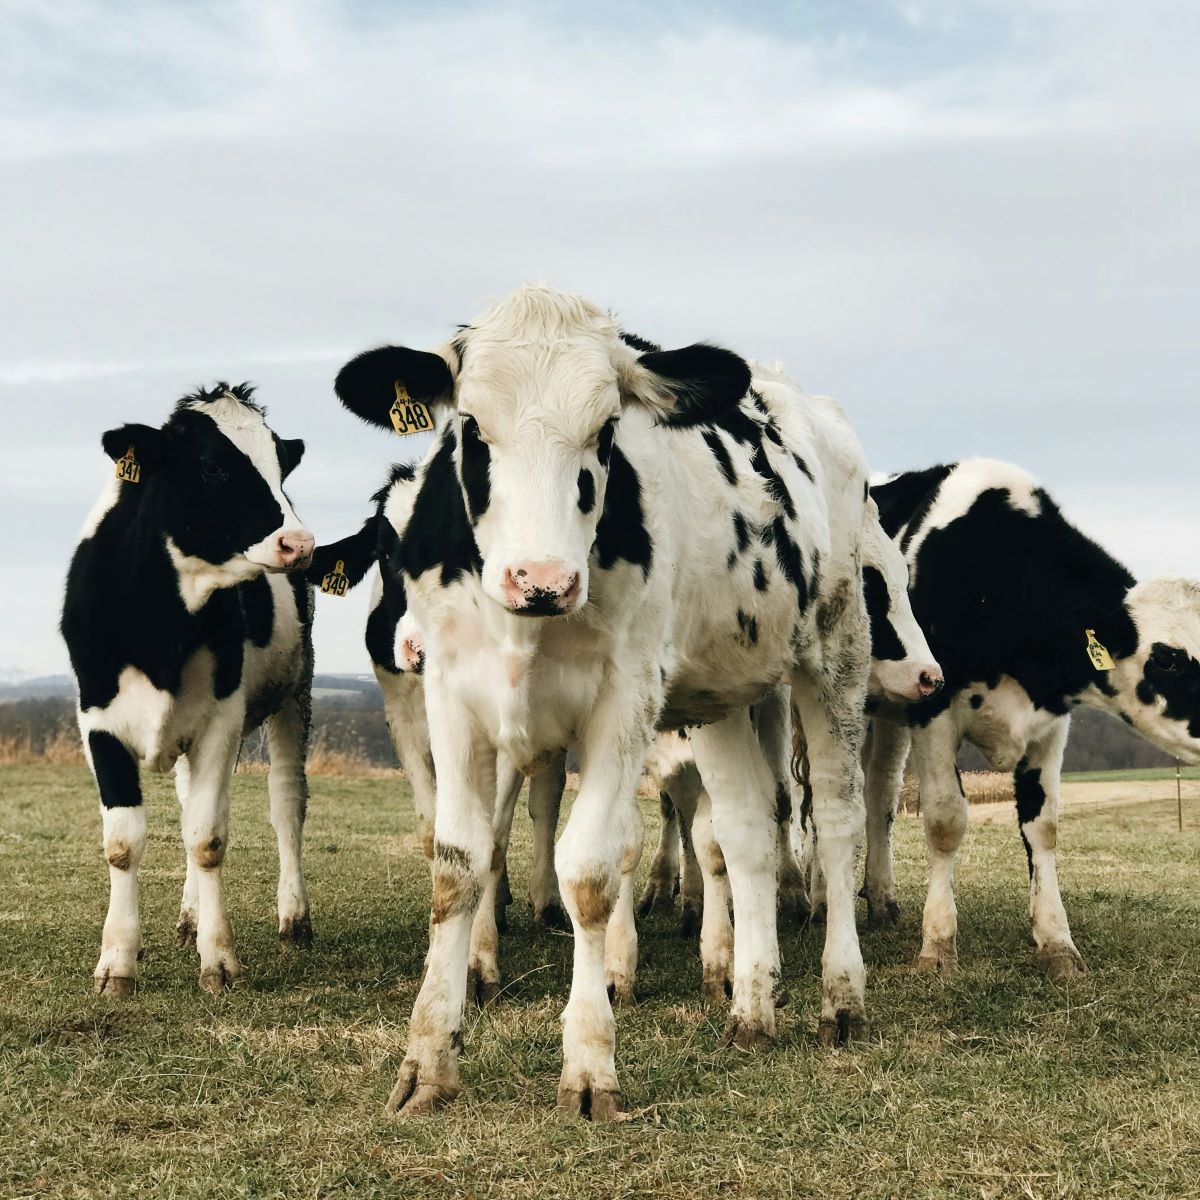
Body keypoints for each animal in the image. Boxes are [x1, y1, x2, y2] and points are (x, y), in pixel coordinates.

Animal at [62, 384, 316, 993]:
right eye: (213, 467)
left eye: (281, 466)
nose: (299, 543)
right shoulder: (96, 720)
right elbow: (124, 841)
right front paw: (117, 962)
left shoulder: (220, 719)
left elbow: (206, 838)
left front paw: (218, 961)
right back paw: (189, 916)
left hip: (295, 693)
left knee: (286, 803)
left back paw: (294, 917)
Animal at [333, 285, 878, 1118]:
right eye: (470, 426)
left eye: (608, 430)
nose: (542, 579)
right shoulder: (452, 697)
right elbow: (456, 865)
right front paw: (428, 1060)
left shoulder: (624, 703)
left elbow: (589, 871)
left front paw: (590, 1064)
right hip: (721, 693)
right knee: (748, 832)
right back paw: (751, 1007)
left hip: (835, 653)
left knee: (840, 819)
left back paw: (841, 998)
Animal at [864, 456, 1200, 974]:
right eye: (1166, 659)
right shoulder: (932, 709)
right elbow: (945, 820)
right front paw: (938, 944)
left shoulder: (1051, 723)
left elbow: (1043, 827)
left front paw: (1056, 941)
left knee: (879, 792)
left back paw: (880, 900)